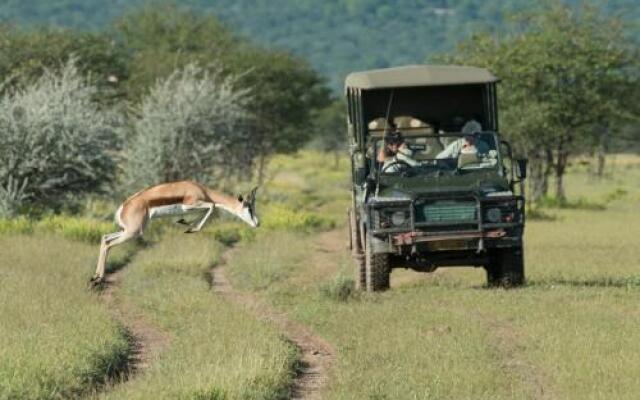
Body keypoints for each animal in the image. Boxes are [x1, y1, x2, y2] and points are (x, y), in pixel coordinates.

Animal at [90, 181, 260, 284]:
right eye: (249, 208)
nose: (257, 223)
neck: (201, 189)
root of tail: (124, 206)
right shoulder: (189, 205)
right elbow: (211, 206)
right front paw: (191, 228)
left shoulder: (194, 207)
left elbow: (208, 209)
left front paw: (186, 224)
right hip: (133, 232)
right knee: (109, 243)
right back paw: (98, 278)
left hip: (128, 230)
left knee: (105, 238)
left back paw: (96, 277)